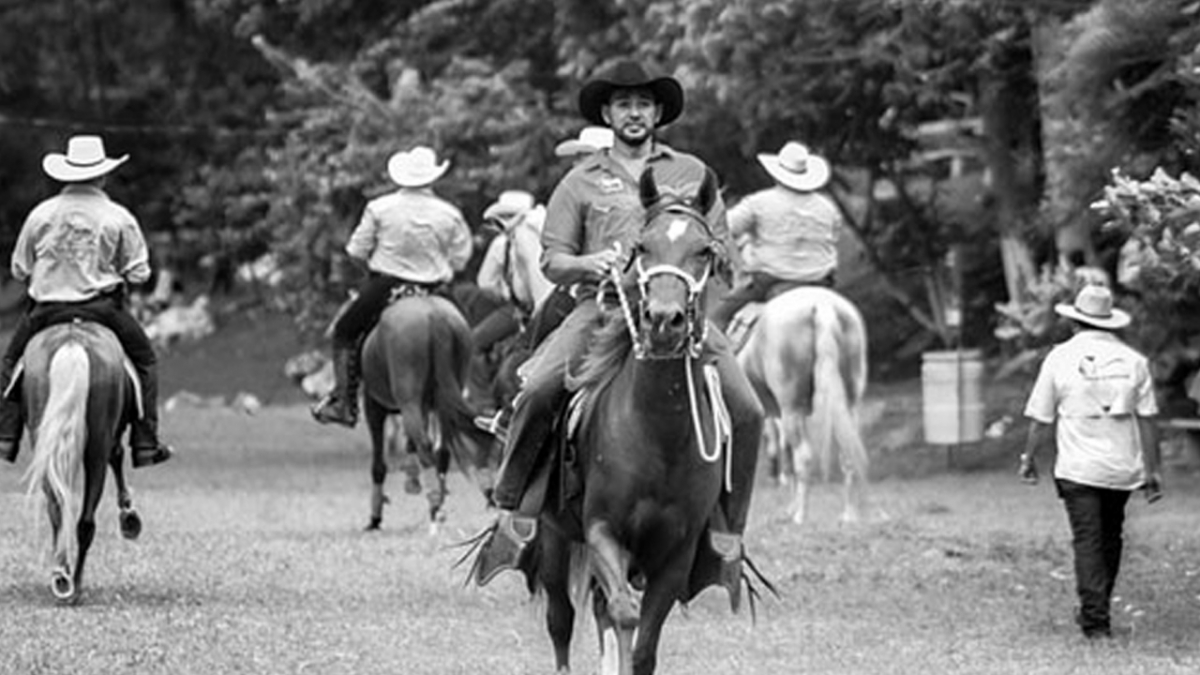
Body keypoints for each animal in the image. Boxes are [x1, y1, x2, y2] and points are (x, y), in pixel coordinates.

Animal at [20, 320, 144, 603]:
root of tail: (72, 340)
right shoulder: (111, 436)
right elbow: (117, 456)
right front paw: (128, 515)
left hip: (42, 435)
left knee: (57, 509)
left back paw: (61, 577)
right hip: (97, 445)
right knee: (86, 522)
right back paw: (74, 585)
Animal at [359, 293, 500, 531]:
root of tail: (435, 315)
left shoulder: (374, 407)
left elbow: (379, 464)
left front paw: (375, 517)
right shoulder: (427, 406)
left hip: (409, 401)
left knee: (426, 445)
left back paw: (434, 504)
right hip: (445, 396)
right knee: (442, 449)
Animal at [734, 286, 871, 524]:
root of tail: (823, 304)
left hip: (792, 409)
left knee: (804, 457)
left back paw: (801, 516)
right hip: (846, 405)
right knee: (847, 455)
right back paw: (848, 515)